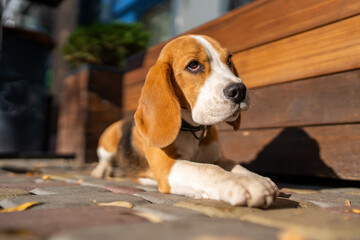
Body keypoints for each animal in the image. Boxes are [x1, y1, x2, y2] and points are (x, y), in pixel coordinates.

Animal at [90, 34, 278, 207]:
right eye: (193, 65)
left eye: (229, 59)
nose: (239, 90)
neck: (192, 130)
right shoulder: (167, 167)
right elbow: (209, 170)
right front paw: (245, 182)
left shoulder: (218, 158)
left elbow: (236, 165)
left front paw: (258, 178)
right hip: (107, 140)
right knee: (104, 159)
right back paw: (101, 171)